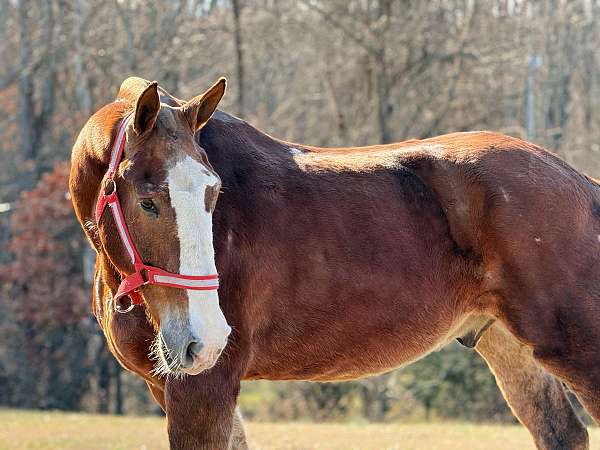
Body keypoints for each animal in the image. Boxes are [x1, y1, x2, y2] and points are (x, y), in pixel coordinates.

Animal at [68, 75, 596, 448]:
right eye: (148, 202)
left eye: (214, 193)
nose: (208, 337)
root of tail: (580, 183)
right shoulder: (176, 388)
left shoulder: (203, 388)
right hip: (508, 347)